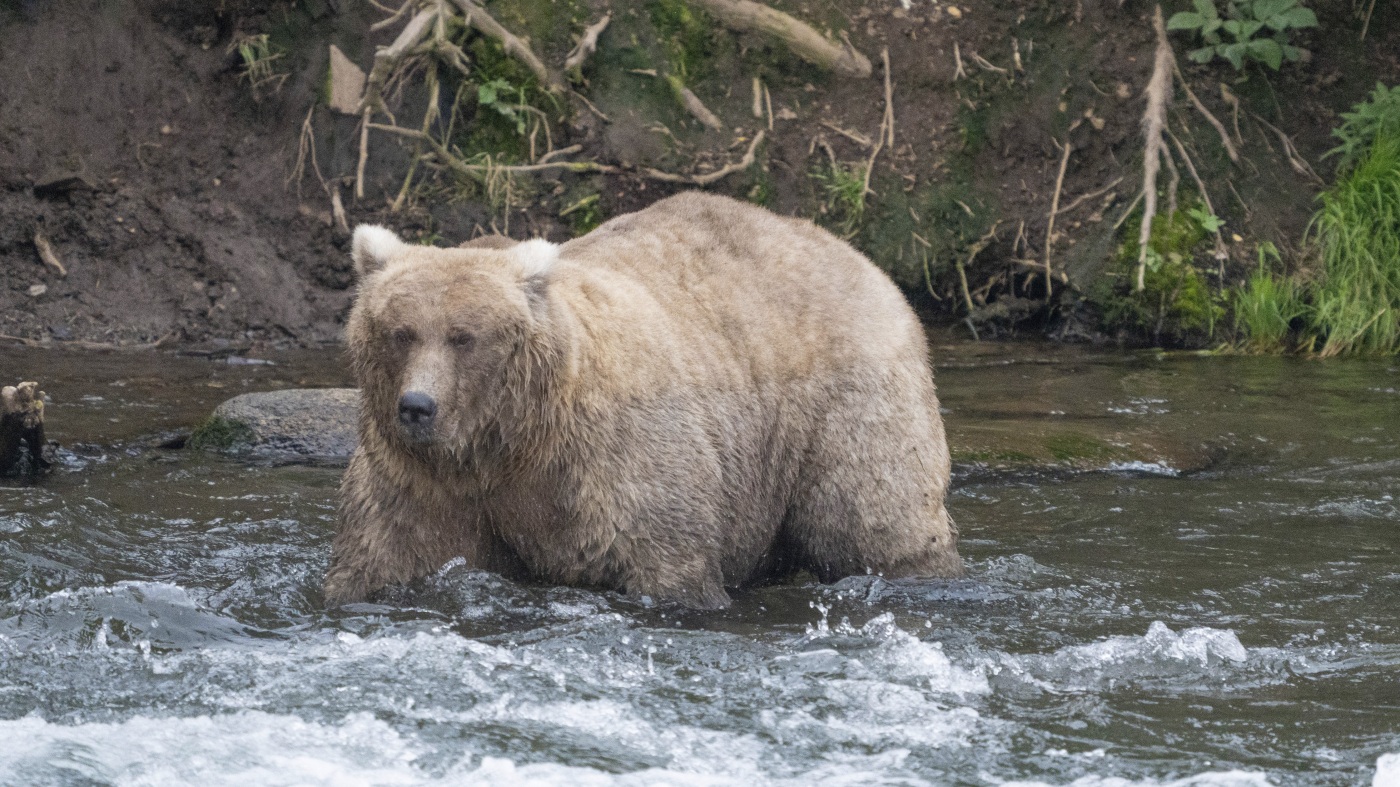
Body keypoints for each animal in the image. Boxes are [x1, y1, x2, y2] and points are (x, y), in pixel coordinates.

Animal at [324, 191, 963, 607]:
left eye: (464, 336)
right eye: (400, 331)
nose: (417, 406)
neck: (510, 442)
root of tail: (858, 257)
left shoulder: (613, 462)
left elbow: (665, 560)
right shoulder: (422, 481)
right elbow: (386, 555)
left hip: (844, 403)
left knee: (873, 517)